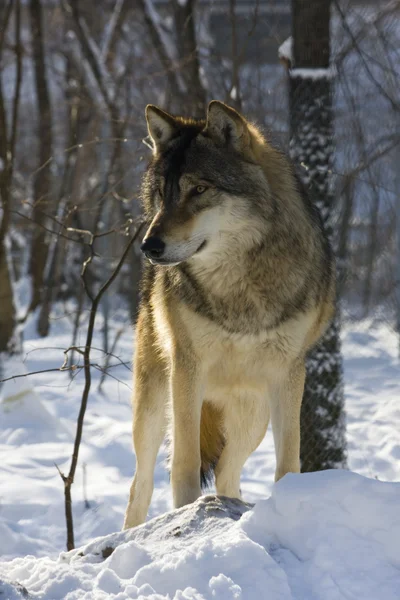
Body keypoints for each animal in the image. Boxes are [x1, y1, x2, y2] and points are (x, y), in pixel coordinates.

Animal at [123, 102, 336, 528]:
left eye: (199, 190)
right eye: (162, 194)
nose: (149, 247)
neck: (240, 286)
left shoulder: (288, 375)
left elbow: (288, 464)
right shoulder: (187, 369)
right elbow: (185, 465)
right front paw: (187, 513)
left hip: (252, 419)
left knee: (227, 473)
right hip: (154, 406)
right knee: (141, 486)